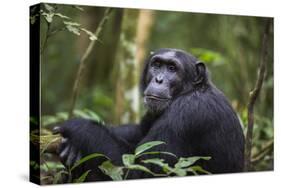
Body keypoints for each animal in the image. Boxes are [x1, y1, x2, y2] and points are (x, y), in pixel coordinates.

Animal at [53, 48, 244, 181]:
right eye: (157, 65)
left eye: (172, 68)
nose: (158, 79)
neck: (189, 91)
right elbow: (138, 131)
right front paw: (70, 149)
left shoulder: (186, 114)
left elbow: (141, 171)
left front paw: (78, 127)